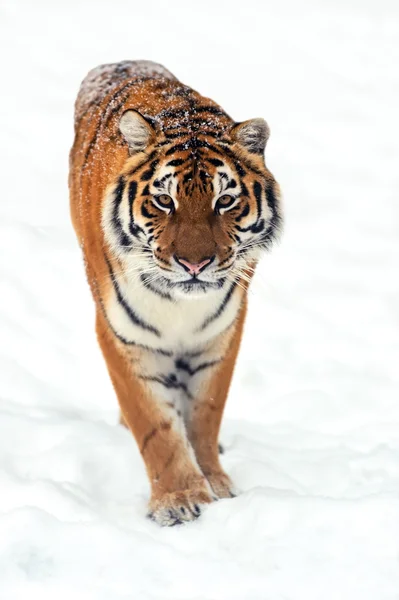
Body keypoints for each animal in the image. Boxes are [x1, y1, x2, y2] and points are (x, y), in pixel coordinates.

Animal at [69, 58, 282, 524]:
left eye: (225, 201)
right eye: (165, 201)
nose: (194, 264)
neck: (181, 305)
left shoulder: (221, 334)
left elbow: (204, 413)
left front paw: (215, 484)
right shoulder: (124, 336)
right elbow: (156, 427)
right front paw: (180, 500)